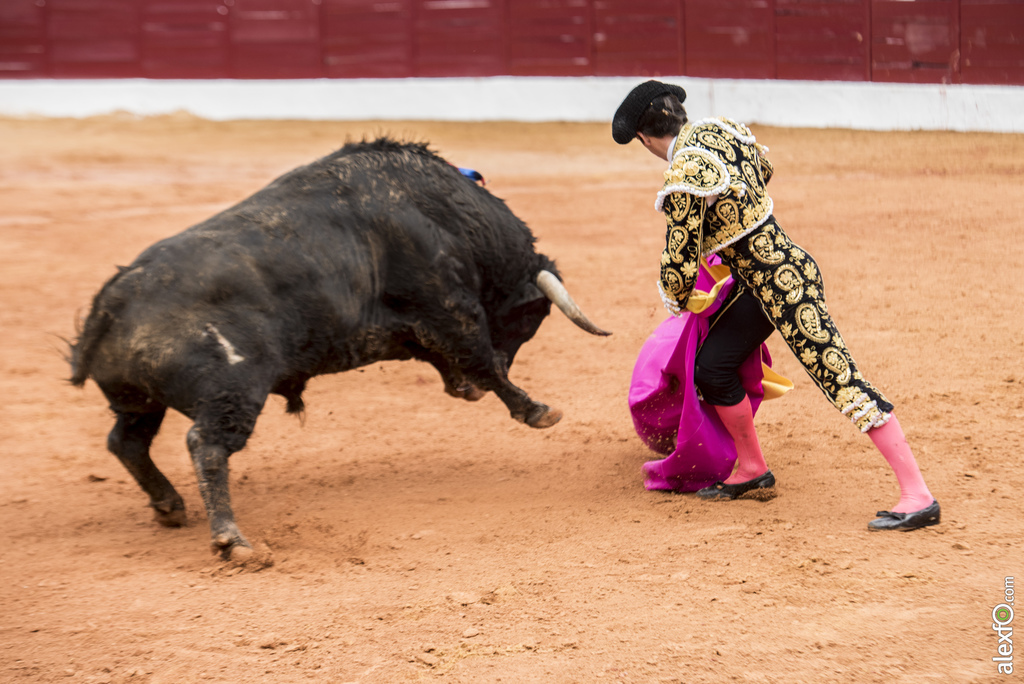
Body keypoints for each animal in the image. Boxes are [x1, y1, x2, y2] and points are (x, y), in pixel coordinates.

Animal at [70, 137, 606, 561]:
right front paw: (537, 410)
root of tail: (111, 303)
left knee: (127, 441)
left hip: (141, 401)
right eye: (529, 318)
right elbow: (484, 359)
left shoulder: (426, 326)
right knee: (206, 444)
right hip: (233, 389)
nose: (466, 393)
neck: (448, 214)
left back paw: (170, 506)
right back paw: (233, 541)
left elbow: (459, 359)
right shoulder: (451, 306)